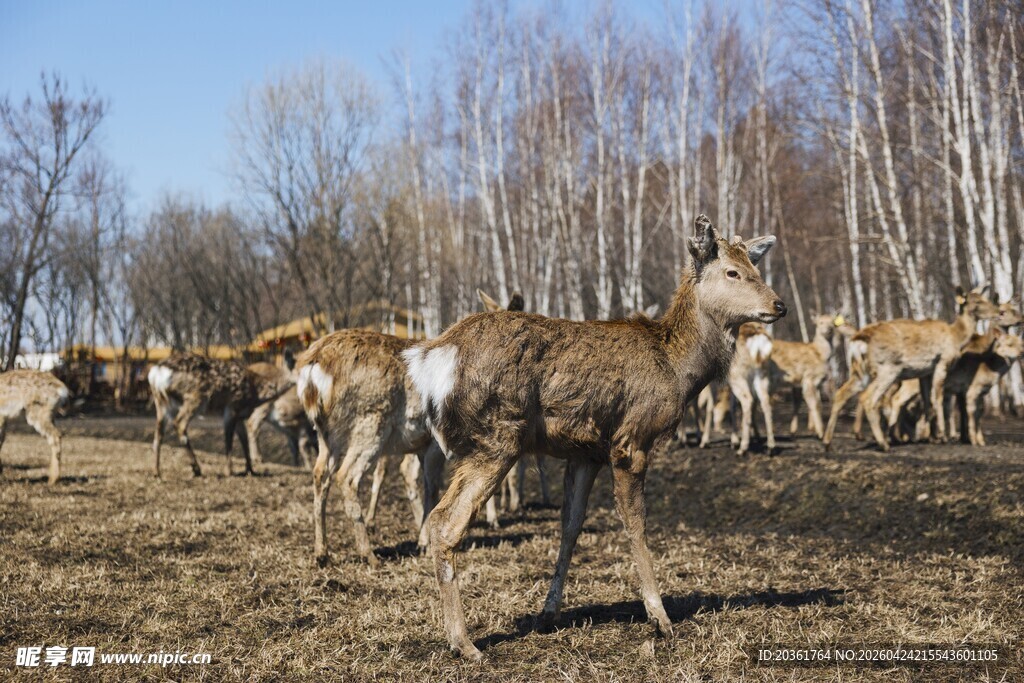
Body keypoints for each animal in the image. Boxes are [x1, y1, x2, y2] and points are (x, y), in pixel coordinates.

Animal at [148, 353, 294, 478]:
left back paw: (156, 472)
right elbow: (229, 439)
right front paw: (229, 471)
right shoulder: (231, 408)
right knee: (180, 424)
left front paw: (250, 470)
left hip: (162, 403)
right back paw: (196, 469)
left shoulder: (239, 415)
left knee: (158, 434)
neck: (256, 392)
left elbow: (244, 440)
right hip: (196, 397)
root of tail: (156, 372)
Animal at [402, 215, 784, 660]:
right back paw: (465, 643)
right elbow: (635, 524)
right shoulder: (630, 439)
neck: (678, 369)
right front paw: (660, 618)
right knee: (445, 522)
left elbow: (570, 527)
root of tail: (433, 357)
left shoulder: (584, 452)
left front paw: (548, 613)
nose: (779, 305)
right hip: (497, 435)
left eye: (755, 265)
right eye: (732, 272)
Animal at [821, 286, 999, 452]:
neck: (956, 337)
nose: (998, 312)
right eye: (978, 302)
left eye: (984, 298)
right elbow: (938, 398)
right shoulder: (942, 361)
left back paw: (828, 442)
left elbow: (928, 401)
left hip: (860, 371)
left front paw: (932, 437)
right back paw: (883, 444)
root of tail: (857, 341)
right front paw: (942, 436)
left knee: (841, 393)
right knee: (868, 398)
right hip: (888, 368)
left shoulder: (925, 372)